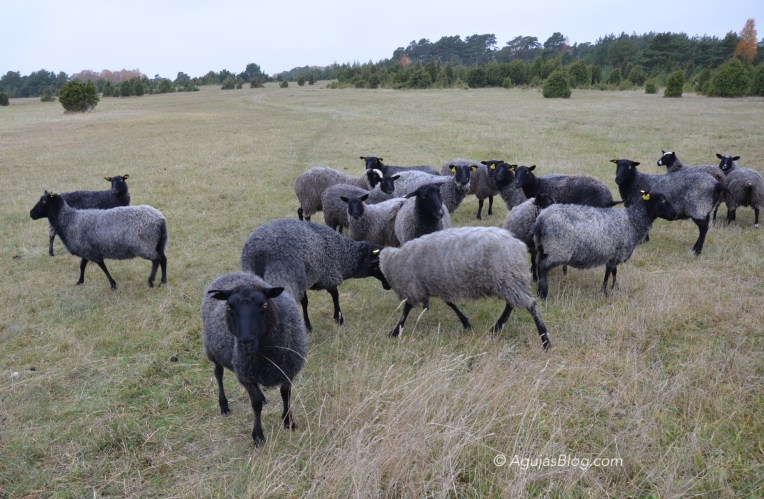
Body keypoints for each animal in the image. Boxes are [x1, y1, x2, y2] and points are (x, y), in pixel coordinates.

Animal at [29, 191, 168, 289]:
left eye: (43, 202)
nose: (31, 214)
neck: (69, 220)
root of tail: (159, 220)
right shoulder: (86, 249)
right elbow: (82, 265)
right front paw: (80, 281)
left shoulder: (92, 252)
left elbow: (102, 267)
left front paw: (113, 284)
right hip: (159, 243)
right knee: (163, 259)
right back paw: (163, 282)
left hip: (143, 245)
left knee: (156, 260)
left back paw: (151, 281)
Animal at [201, 271, 308, 445]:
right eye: (229, 307)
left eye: (264, 305)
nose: (246, 342)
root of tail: (231, 273)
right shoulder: (245, 375)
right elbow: (255, 404)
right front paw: (258, 435)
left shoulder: (288, 369)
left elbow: (285, 394)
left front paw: (288, 422)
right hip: (212, 350)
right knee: (218, 374)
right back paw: (224, 406)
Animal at [241, 218, 389, 331]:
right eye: (378, 265)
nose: (388, 285)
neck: (344, 255)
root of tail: (259, 250)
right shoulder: (328, 275)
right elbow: (335, 295)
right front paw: (338, 318)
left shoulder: (305, 281)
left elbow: (305, 302)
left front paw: (308, 326)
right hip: (283, 277)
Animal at [379, 226, 551, 349]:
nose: (385, 287)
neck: (393, 261)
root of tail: (518, 245)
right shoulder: (439, 285)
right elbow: (450, 303)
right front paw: (466, 323)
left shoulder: (413, 286)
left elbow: (406, 309)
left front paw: (395, 331)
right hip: (508, 281)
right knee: (511, 304)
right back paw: (496, 328)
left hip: (508, 279)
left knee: (530, 305)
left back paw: (545, 340)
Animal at [532, 190, 678, 299]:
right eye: (662, 200)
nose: (675, 214)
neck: (632, 221)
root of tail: (541, 220)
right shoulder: (615, 254)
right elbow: (609, 273)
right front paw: (605, 292)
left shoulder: (614, 254)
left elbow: (614, 272)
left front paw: (615, 288)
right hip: (558, 249)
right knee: (543, 267)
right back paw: (543, 293)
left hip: (542, 247)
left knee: (538, 263)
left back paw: (538, 286)